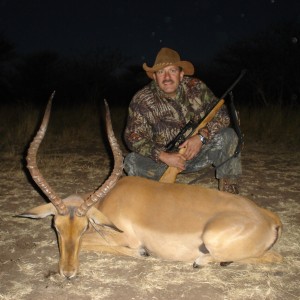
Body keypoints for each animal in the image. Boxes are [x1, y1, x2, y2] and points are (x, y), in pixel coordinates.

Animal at [18, 93, 282, 278]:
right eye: (57, 227)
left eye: (83, 228)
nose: (68, 273)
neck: (108, 200)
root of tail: (269, 219)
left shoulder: (120, 238)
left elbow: (103, 246)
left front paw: (142, 253)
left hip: (212, 239)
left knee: (274, 257)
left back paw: (200, 261)